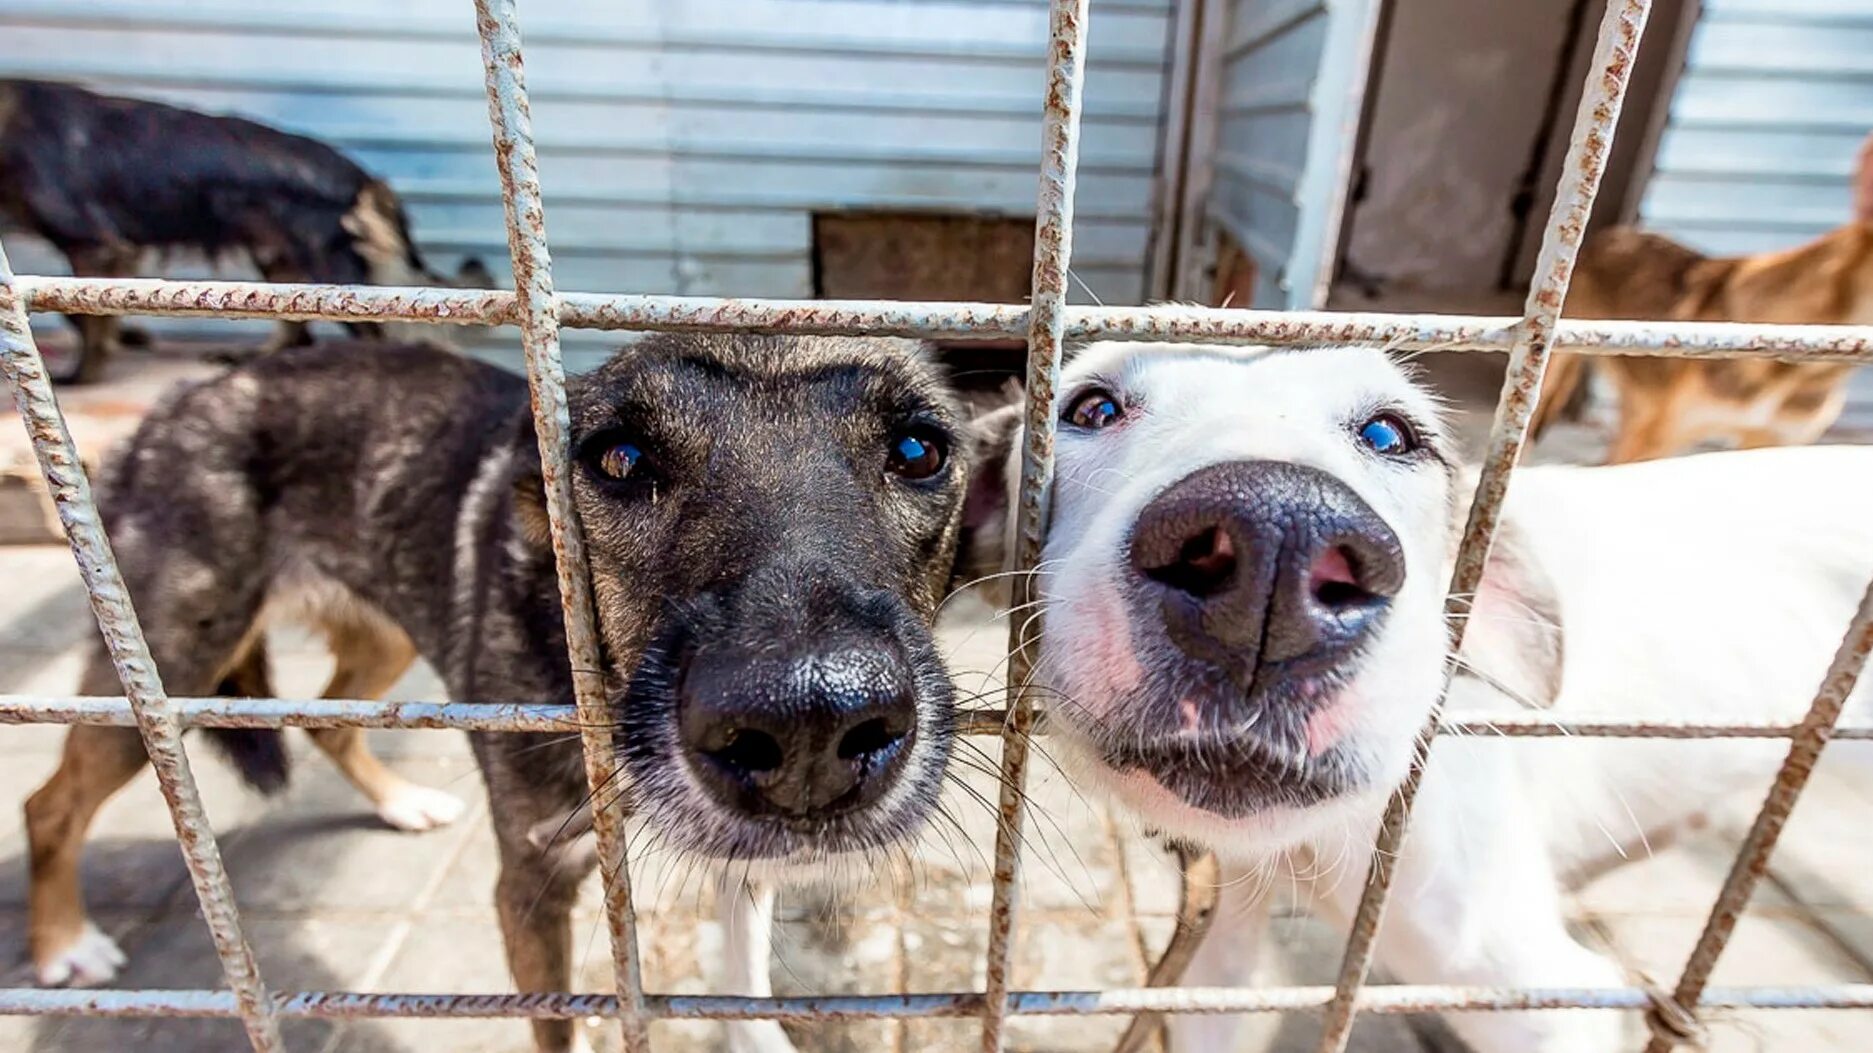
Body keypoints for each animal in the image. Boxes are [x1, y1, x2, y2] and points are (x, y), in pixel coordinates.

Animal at [0, 77, 490, 380]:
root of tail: (360, 175)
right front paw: (125, 340)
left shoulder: (95, 242)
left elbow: (83, 318)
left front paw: (82, 376)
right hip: (278, 258)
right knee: (297, 330)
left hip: (328, 269)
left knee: (371, 336)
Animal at [958, 341, 1873, 1041]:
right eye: (1090, 408)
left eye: (1390, 433)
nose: (1276, 541)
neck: (1311, 845)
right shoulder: (1215, 949)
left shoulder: (1541, 1000)